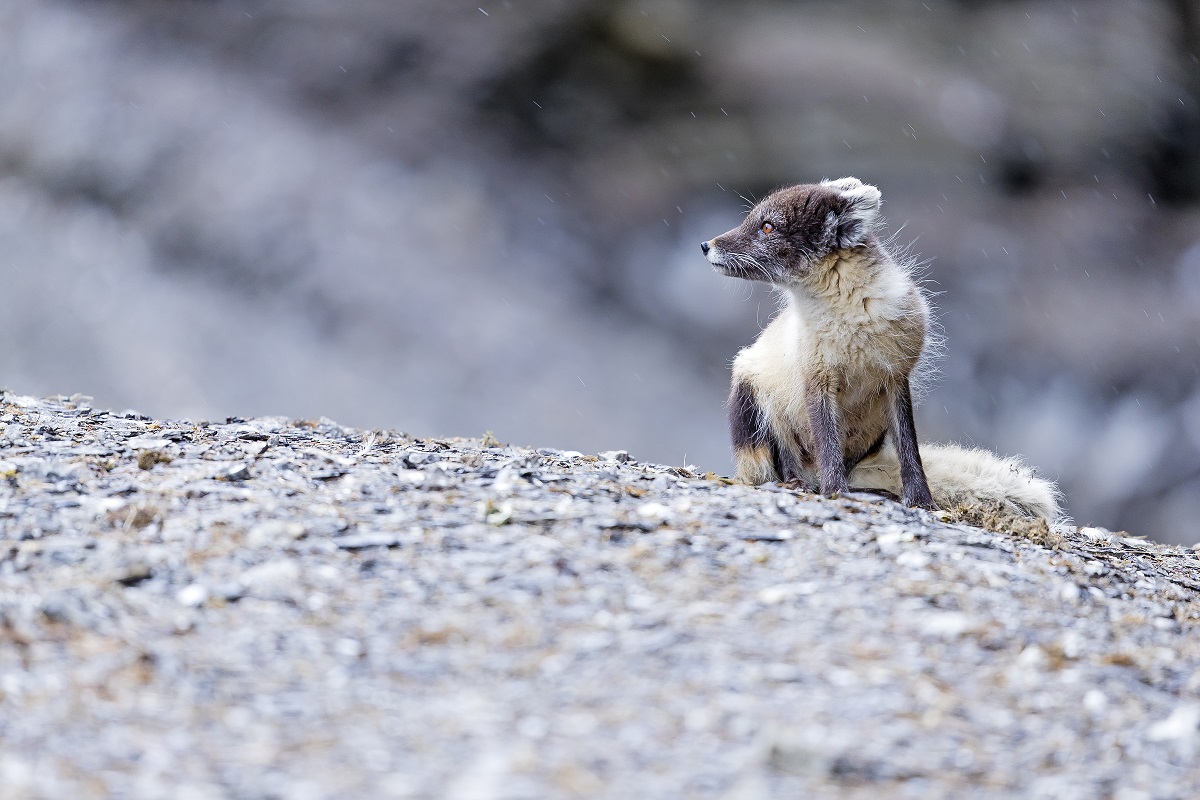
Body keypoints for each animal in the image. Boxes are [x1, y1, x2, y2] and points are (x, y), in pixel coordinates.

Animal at [700, 178, 1060, 522]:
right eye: (756, 220)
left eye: (767, 227)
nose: (706, 245)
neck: (848, 317)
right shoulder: (817, 380)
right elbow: (828, 445)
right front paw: (835, 493)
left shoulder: (895, 378)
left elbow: (910, 451)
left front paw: (921, 502)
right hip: (750, 394)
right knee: (777, 466)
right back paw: (800, 483)